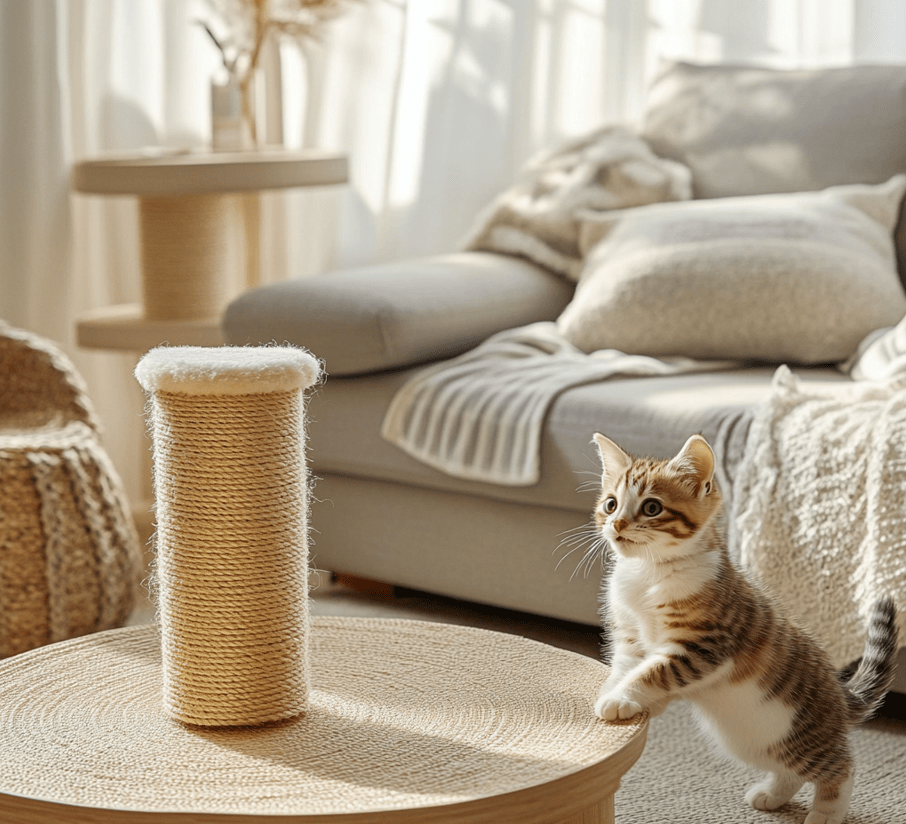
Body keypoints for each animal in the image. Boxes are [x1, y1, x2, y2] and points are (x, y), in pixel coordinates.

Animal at [588, 432, 892, 824]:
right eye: (610, 504)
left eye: (652, 508)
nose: (617, 525)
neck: (648, 572)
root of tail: (839, 694)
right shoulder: (630, 636)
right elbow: (628, 665)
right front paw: (618, 694)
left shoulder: (705, 645)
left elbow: (654, 671)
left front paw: (624, 696)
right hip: (749, 738)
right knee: (789, 767)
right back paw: (773, 794)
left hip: (797, 730)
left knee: (840, 766)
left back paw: (827, 812)